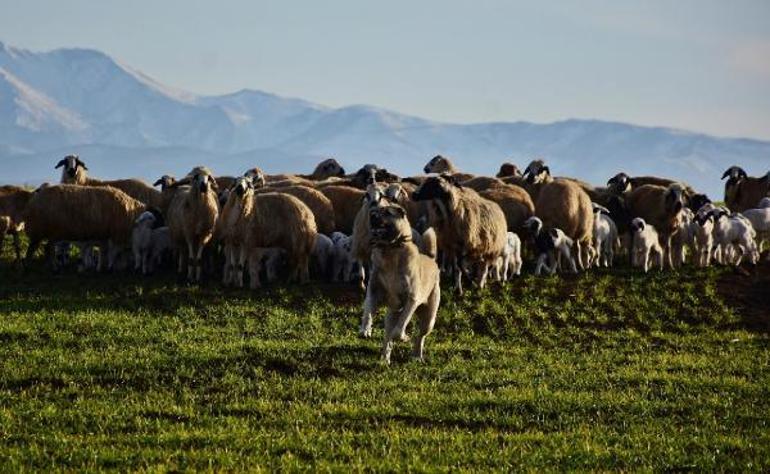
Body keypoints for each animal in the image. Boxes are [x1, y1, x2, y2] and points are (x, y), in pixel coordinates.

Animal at [360, 203, 438, 362]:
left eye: (387, 212)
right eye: (376, 210)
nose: (371, 215)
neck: (390, 251)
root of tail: (431, 259)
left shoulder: (411, 300)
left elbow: (400, 326)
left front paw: (403, 337)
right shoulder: (373, 291)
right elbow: (368, 311)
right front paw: (365, 329)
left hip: (429, 319)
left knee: (420, 337)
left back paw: (416, 355)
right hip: (391, 316)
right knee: (387, 338)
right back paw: (385, 359)